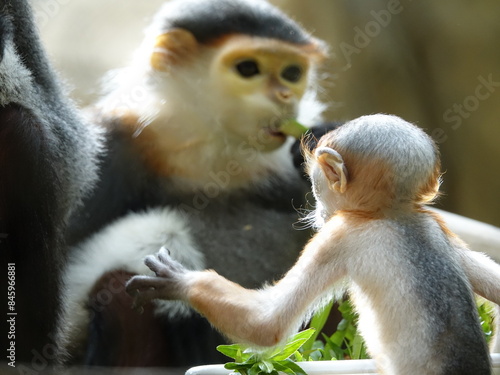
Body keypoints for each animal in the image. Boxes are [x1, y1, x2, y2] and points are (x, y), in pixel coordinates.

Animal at [127, 115, 498, 375]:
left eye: (318, 184)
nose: (319, 207)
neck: (393, 214)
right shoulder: (438, 225)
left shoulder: (337, 236)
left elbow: (267, 324)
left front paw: (179, 283)